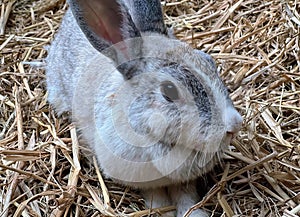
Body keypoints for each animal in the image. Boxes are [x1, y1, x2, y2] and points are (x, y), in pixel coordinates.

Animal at [46, 0, 244, 215]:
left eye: (209, 60)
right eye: (169, 90)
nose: (234, 125)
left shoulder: (184, 182)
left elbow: (186, 196)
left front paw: (195, 213)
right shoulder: (144, 182)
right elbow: (156, 198)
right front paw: (163, 213)